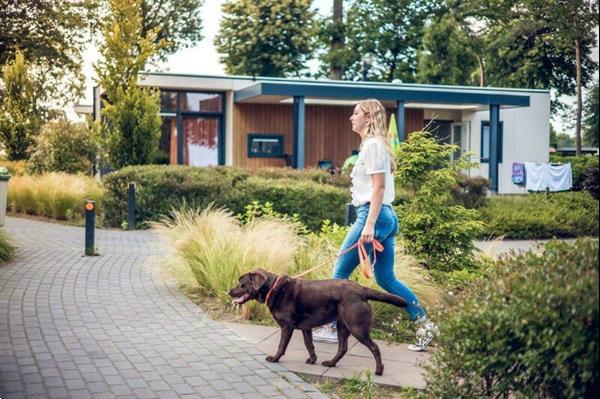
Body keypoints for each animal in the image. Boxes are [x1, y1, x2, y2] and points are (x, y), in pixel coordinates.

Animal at [227, 268, 406, 376]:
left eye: (241, 284)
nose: (229, 291)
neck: (272, 288)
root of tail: (361, 289)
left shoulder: (287, 326)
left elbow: (282, 346)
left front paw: (275, 358)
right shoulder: (306, 328)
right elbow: (309, 345)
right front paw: (313, 360)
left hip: (357, 327)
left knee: (374, 347)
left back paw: (379, 370)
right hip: (342, 326)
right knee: (343, 348)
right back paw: (331, 363)